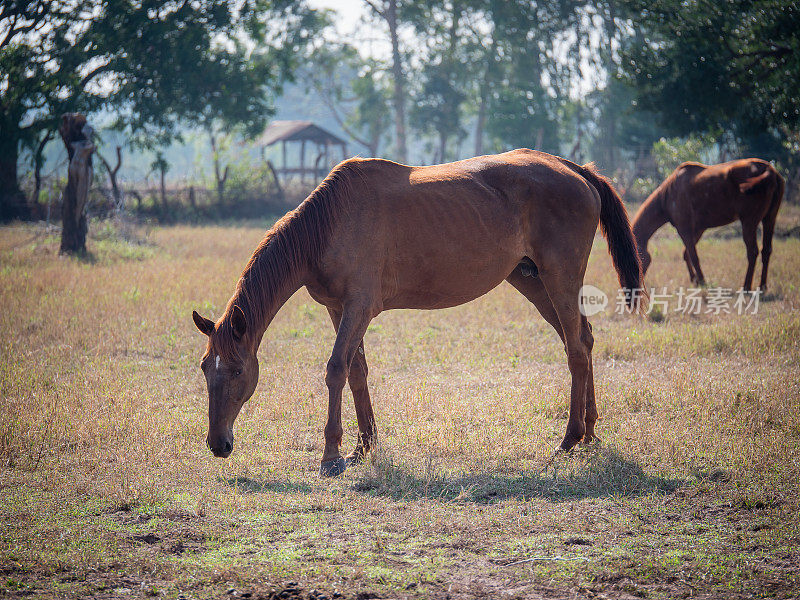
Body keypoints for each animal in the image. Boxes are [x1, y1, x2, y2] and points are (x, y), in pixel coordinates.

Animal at [191, 150, 640, 478]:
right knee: (583, 338)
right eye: (204, 368)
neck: (330, 223)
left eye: (237, 371)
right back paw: (591, 431)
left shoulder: (359, 308)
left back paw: (569, 438)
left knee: (576, 350)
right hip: (533, 282)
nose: (218, 444)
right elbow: (356, 371)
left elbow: (335, 369)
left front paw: (332, 454)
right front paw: (364, 446)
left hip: (559, 278)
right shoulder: (339, 310)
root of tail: (576, 169)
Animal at [632, 158, 788, 292]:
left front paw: (702, 282)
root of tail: (770, 170)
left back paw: (746, 288)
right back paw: (762, 286)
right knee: (766, 250)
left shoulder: (684, 228)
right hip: (769, 219)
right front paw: (695, 280)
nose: (636, 286)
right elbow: (687, 254)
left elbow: (694, 256)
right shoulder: (698, 229)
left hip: (749, 221)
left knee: (753, 252)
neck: (668, 194)